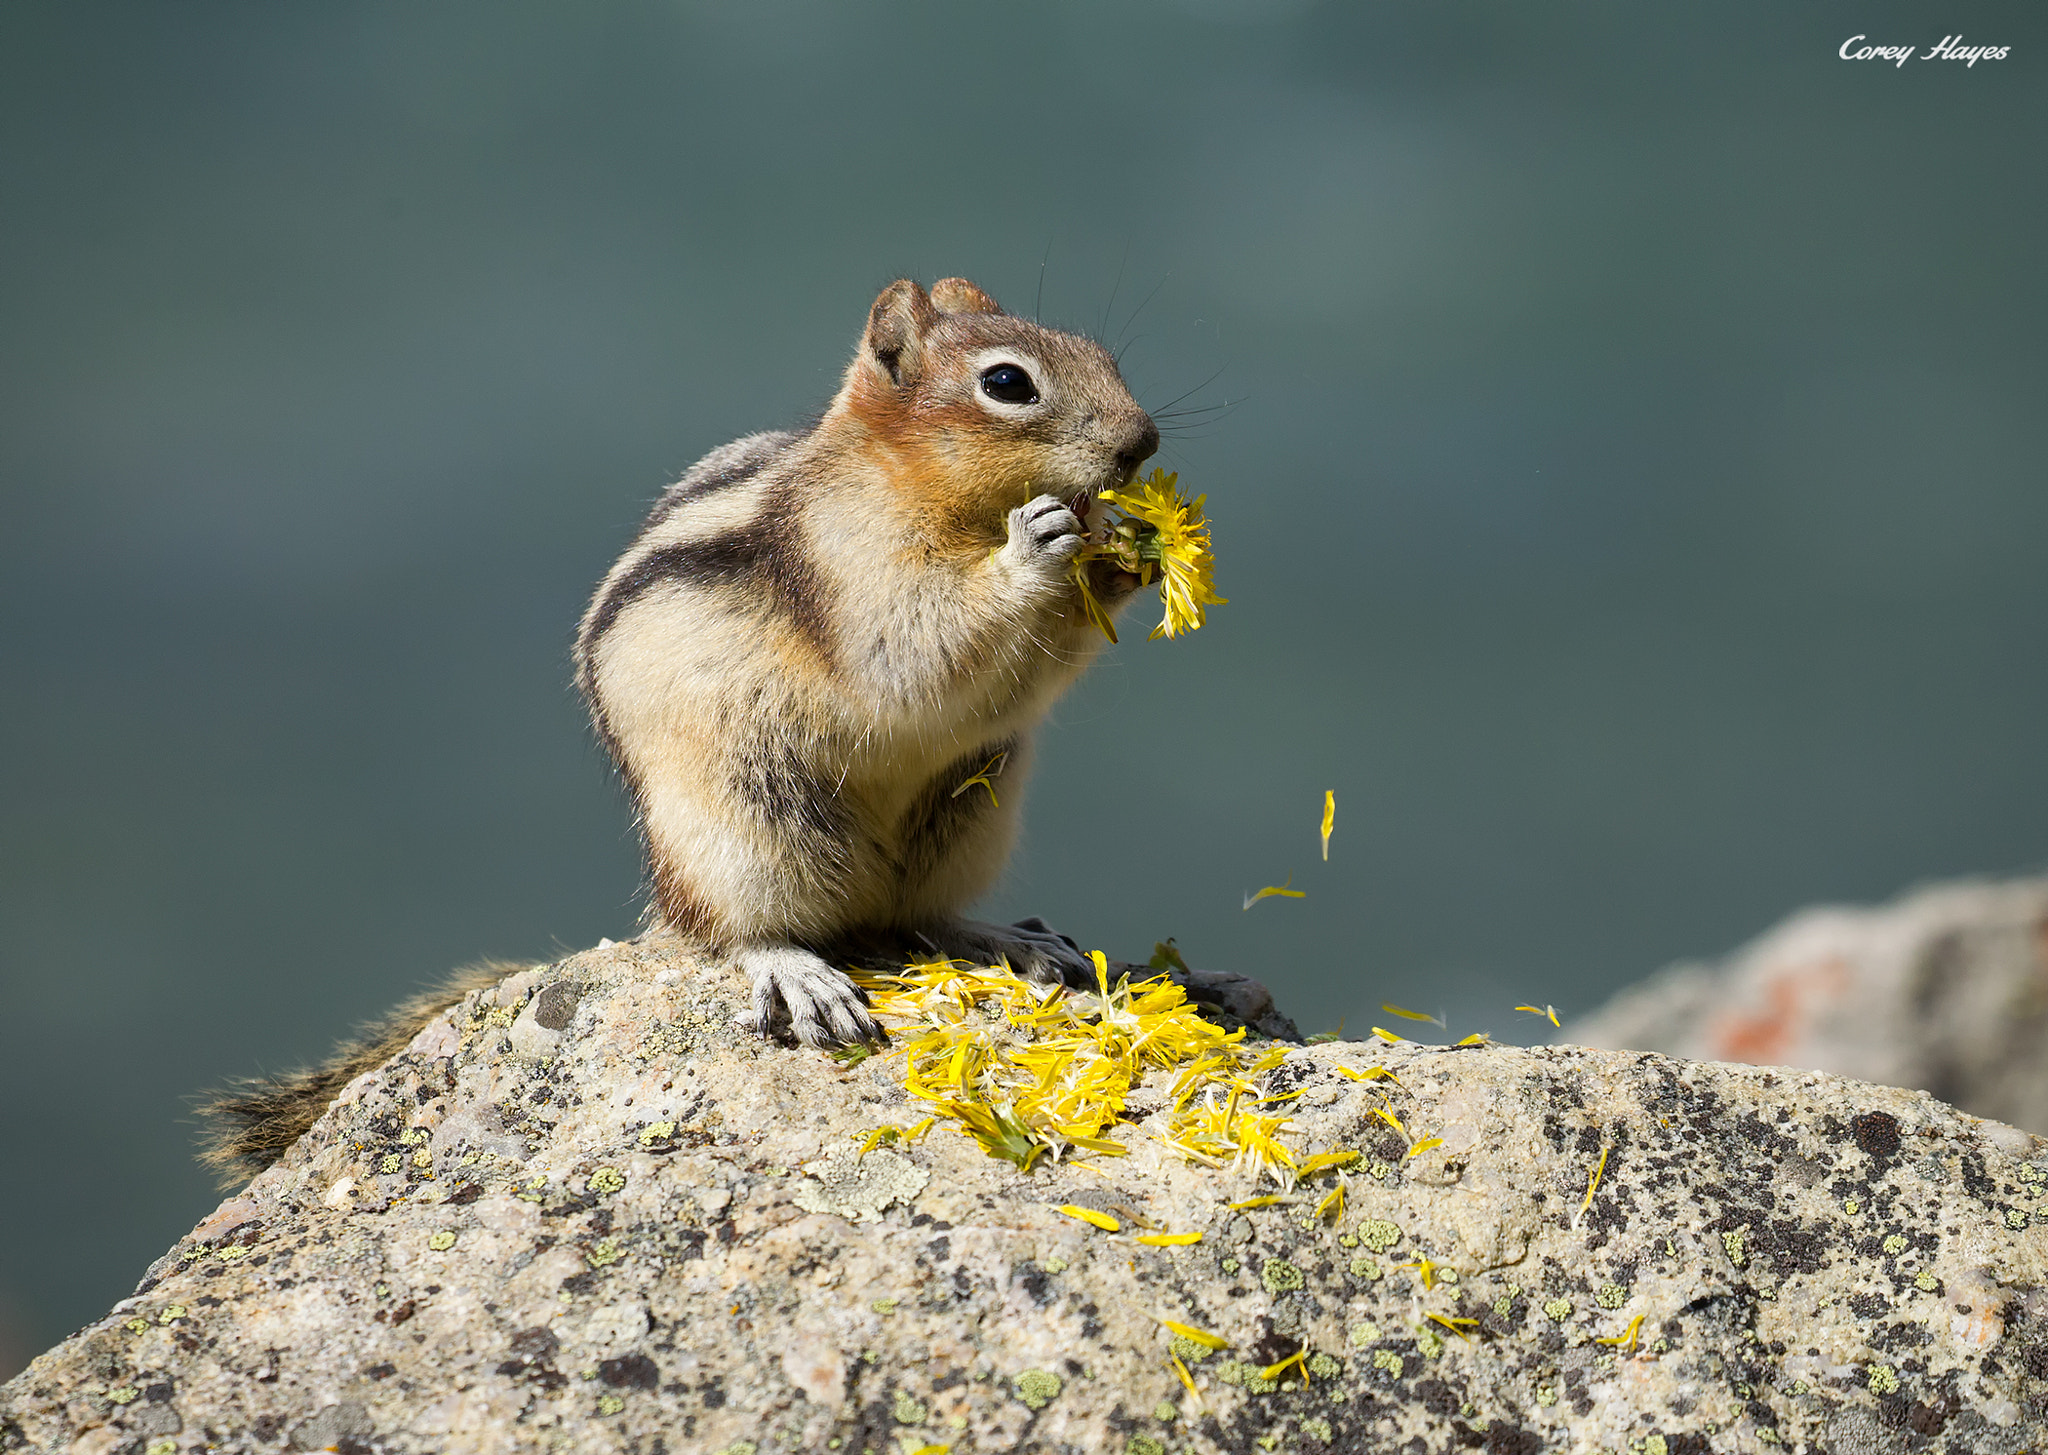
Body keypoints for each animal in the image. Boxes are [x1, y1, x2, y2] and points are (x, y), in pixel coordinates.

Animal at [199, 277, 1158, 1180]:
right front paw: (1039, 544)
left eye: (1101, 354)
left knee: (919, 915)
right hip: (744, 822)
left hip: (965, 818)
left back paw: (1009, 939)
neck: (925, 492)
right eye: (1007, 384)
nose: (1143, 443)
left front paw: (1124, 555)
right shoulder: (856, 568)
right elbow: (918, 646)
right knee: (739, 930)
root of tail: (667, 896)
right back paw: (798, 973)